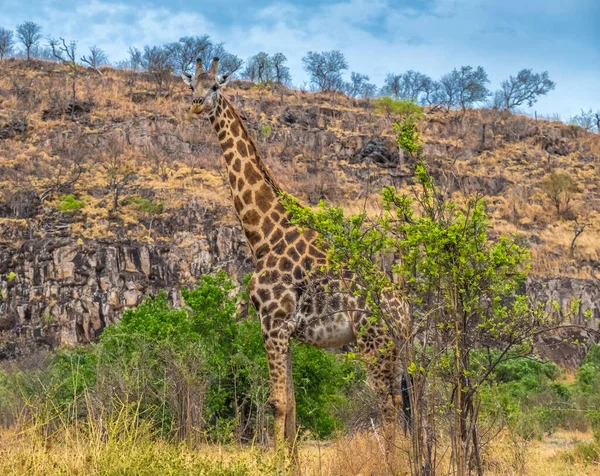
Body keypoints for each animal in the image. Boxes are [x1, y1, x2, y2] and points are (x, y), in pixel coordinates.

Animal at [182, 57, 408, 452]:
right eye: (192, 84)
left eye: (215, 87)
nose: (195, 105)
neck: (263, 235)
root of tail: (406, 311)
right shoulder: (284, 330)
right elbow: (291, 404)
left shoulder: (272, 322)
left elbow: (277, 403)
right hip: (395, 350)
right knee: (405, 403)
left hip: (374, 342)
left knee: (387, 404)